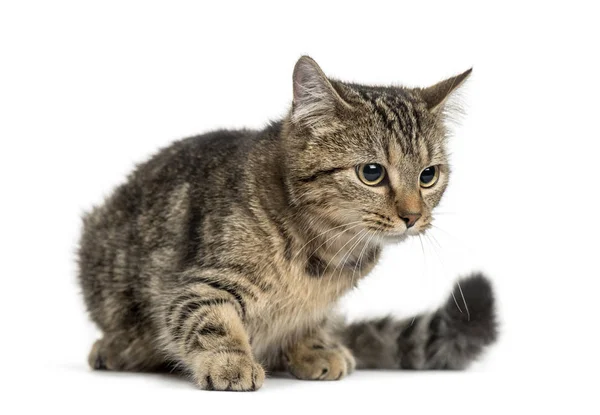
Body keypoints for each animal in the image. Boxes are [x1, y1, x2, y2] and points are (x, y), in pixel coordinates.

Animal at [77, 57, 496, 392]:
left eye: (428, 175)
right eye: (372, 173)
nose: (412, 216)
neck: (324, 251)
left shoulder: (322, 305)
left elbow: (310, 322)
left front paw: (313, 348)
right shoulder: (197, 284)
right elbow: (210, 319)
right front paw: (231, 361)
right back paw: (115, 347)